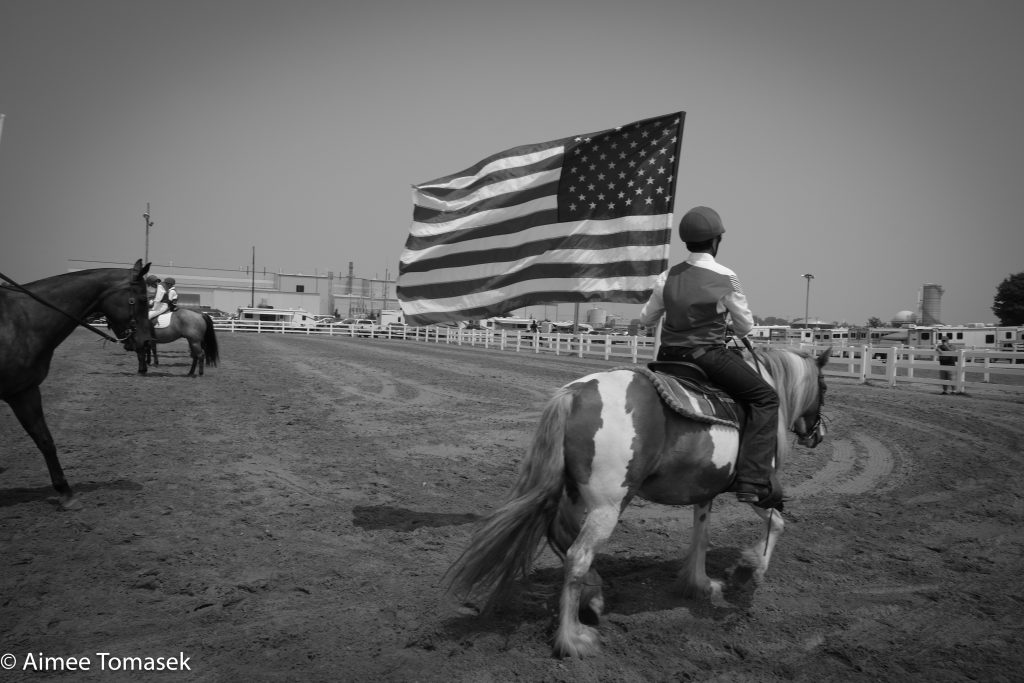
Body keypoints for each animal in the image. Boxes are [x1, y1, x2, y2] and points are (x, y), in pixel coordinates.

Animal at [0, 260, 151, 507]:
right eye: (143, 300)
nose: (147, 342)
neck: (24, 320)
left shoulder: (25, 391)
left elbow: (45, 439)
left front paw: (64, 491)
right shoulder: (20, 393)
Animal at [448, 348, 831, 655]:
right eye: (824, 388)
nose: (817, 435)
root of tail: (575, 393)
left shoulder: (704, 491)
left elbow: (701, 537)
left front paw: (700, 583)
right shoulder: (757, 487)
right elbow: (777, 522)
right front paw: (752, 570)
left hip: (576, 496)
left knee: (562, 536)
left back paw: (593, 597)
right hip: (608, 504)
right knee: (577, 555)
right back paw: (573, 639)